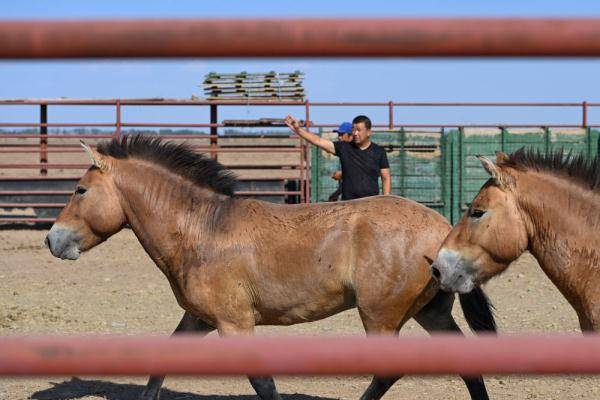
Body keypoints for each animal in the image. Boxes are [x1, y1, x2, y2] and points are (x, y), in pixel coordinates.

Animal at [47, 137, 494, 400]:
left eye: (80, 190)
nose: (52, 239)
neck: (201, 230)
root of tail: (441, 229)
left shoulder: (235, 325)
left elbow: (263, 383)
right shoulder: (198, 319)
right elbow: (159, 370)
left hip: (380, 317)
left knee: (387, 373)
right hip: (430, 313)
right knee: (468, 366)